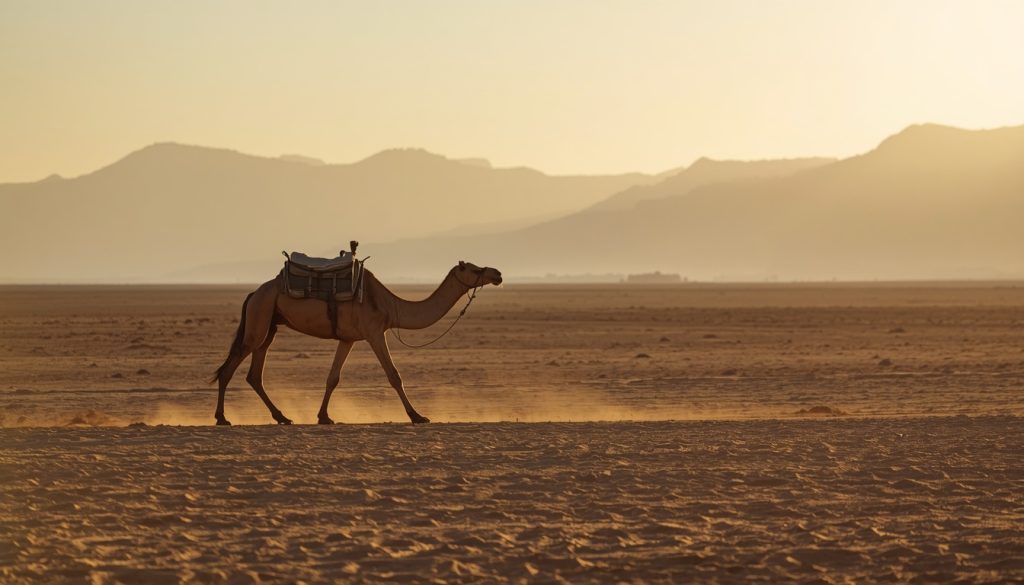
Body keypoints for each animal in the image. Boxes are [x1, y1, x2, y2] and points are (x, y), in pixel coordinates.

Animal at [211, 261, 502, 425]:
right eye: (475, 269)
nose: (497, 274)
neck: (391, 306)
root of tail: (253, 293)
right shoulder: (375, 332)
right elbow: (394, 376)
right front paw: (418, 416)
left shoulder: (348, 338)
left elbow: (333, 378)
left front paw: (324, 417)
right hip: (259, 318)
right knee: (229, 368)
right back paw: (222, 418)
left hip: (269, 323)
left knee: (254, 374)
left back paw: (282, 417)